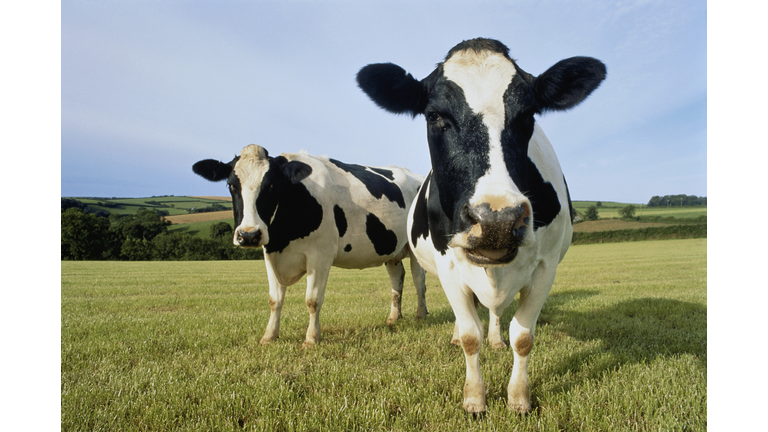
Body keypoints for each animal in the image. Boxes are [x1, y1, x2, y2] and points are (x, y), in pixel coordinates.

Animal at [192, 145, 428, 348]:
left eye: (271, 185)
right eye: (231, 185)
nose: (248, 235)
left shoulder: (320, 256)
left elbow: (312, 300)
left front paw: (311, 338)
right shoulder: (270, 254)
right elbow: (274, 300)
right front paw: (269, 336)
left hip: (415, 248)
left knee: (419, 281)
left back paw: (421, 315)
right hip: (392, 251)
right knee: (397, 279)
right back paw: (394, 317)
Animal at [356, 38, 608, 414]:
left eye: (528, 115)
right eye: (435, 116)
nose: (497, 220)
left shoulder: (546, 266)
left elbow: (523, 336)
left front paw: (519, 398)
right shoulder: (448, 264)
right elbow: (470, 336)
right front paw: (475, 398)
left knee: (494, 311)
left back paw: (496, 339)